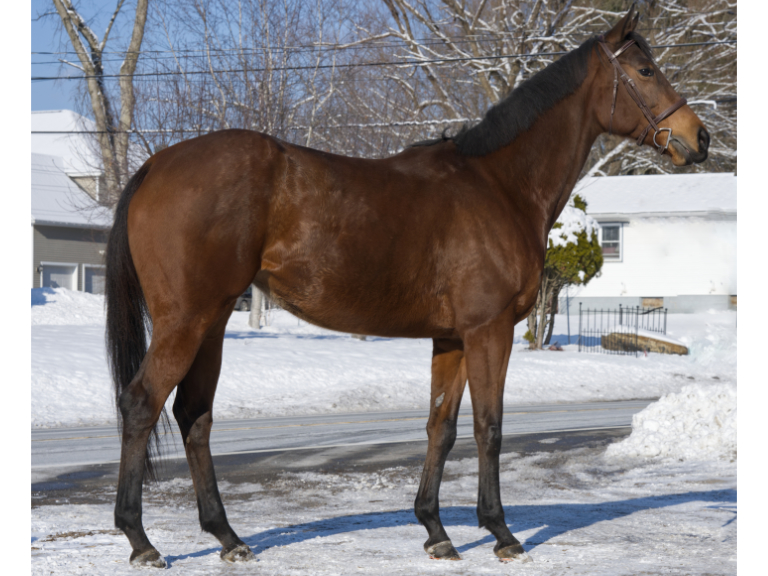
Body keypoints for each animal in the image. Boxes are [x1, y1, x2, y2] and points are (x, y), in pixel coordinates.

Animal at [104, 5, 709, 567]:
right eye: (646, 70)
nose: (698, 138)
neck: (498, 185)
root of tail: (157, 164)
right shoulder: (489, 331)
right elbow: (489, 426)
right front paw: (501, 533)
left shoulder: (452, 338)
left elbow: (441, 427)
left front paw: (436, 532)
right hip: (187, 320)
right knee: (142, 403)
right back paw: (141, 541)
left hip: (212, 320)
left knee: (194, 415)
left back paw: (228, 538)